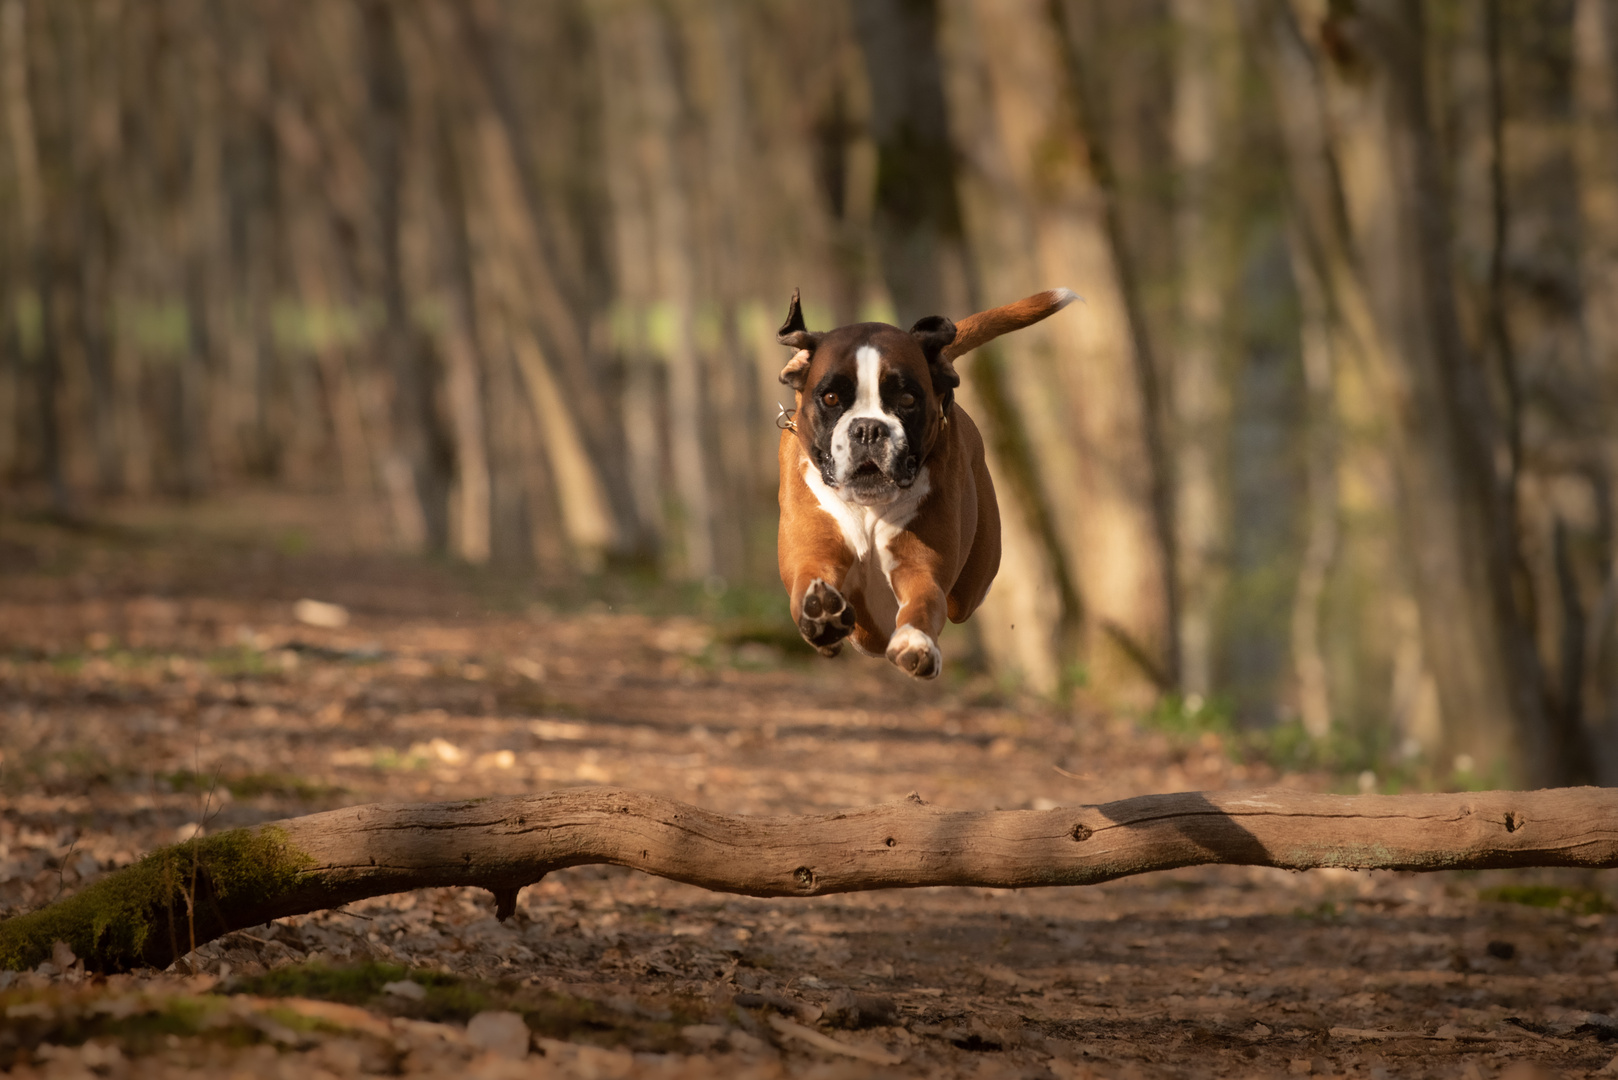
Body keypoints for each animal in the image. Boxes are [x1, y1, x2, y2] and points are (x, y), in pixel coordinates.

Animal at [770, 286, 1074, 676]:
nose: (868, 428)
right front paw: (821, 614)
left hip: (971, 585)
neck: (869, 507)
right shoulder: (813, 552)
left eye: (907, 398)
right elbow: (808, 578)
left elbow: (924, 603)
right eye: (831, 397)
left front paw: (915, 642)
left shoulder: (920, 568)